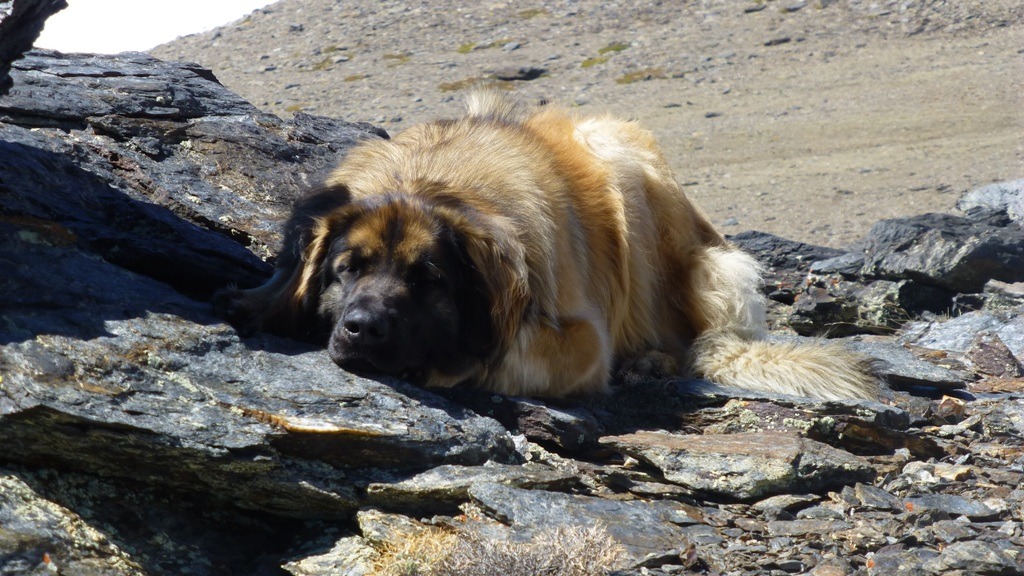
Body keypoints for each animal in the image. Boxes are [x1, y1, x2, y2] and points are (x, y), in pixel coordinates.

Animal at [220, 93, 876, 399]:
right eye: (346, 270)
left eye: (427, 278)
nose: (362, 328)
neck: (427, 182)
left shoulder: (581, 336)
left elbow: (501, 354)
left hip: (621, 159)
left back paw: (651, 359)